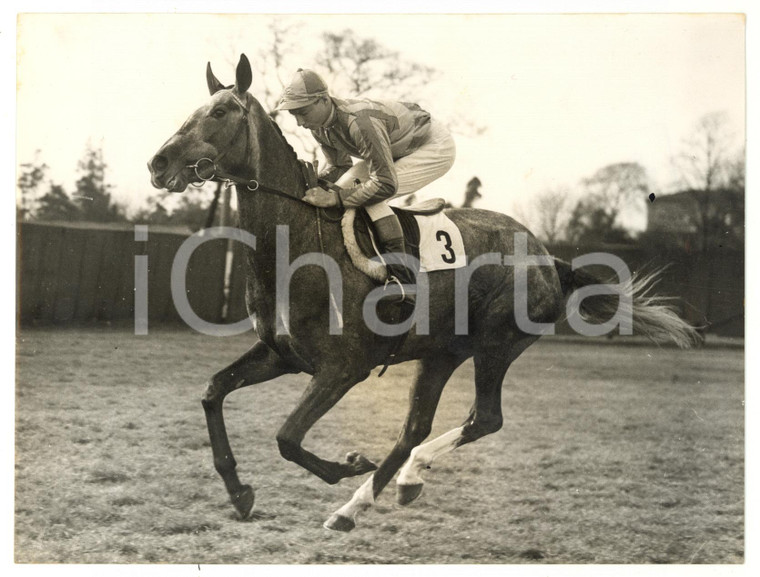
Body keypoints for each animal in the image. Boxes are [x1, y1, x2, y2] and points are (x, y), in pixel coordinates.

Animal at [145, 55, 696, 532]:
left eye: (219, 112)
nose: (157, 162)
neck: (295, 243)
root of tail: (548, 258)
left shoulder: (343, 368)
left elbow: (286, 437)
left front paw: (348, 464)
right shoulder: (282, 354)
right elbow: (213, 391)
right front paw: (239, 491)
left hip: (496, 345)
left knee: (484, 418)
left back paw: (372, 491)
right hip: (441, 352)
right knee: (417, 428)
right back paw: (375, 495)